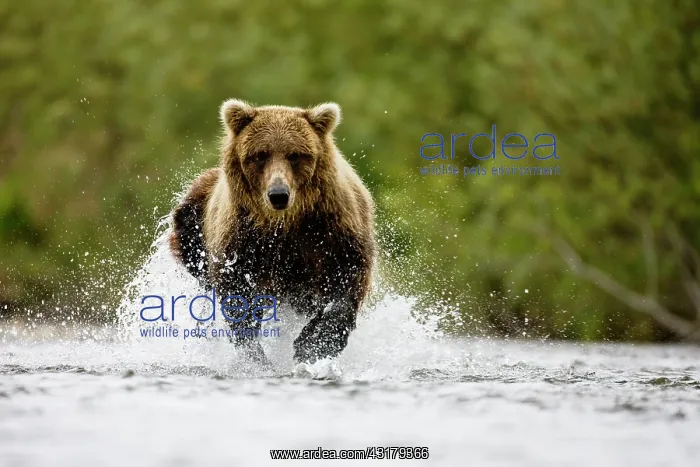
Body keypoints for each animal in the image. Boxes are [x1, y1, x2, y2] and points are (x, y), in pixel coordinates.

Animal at [169, 99, 376, 365]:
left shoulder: (333, 229)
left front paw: (313, 344)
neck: (285, 223)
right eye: (260, 154)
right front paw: (255, 352)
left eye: (295, 155)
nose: (278, 194)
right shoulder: (242, 239)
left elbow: (348, 280)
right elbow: (238, 294)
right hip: (193, 222)